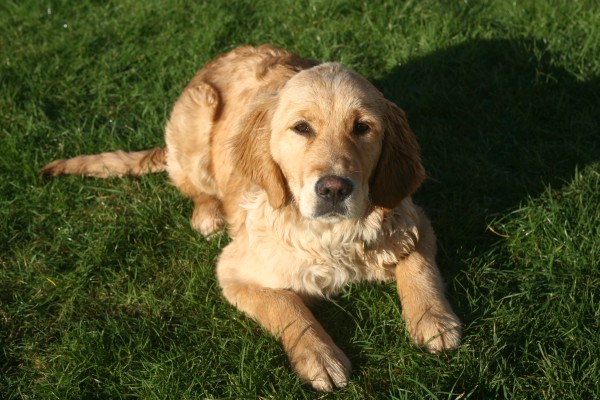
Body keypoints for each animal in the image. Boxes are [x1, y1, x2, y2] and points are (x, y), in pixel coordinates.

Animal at [42, 44, 462, 390]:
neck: (329, 235)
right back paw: (208, 214)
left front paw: (434, 321)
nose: (333, 189)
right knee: (190, 184)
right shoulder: (233, 270)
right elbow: (286, 305)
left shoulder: (412, 219)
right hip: (197, 119)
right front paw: (319, 357)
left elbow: (419, 268)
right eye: (301, 128)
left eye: (363, 127)